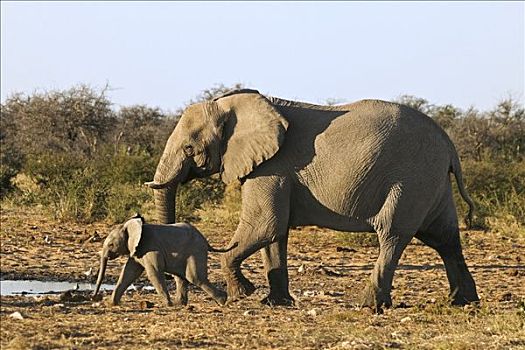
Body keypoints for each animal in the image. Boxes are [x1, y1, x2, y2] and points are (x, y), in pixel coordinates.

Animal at [92, 215, 235, 308]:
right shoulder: (137, 250)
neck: (132, 226)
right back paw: (180, 304)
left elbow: (154, 273)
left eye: (111, 245)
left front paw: (167, 304)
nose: (94, 297)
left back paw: (222, 300)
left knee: (194, 277)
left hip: (195, 251)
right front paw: (110, 304)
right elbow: (129, 273)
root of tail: (205, 241)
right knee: (181, 277)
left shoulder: (150, 248)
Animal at [145, 89, 476, 310]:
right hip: (431, 182)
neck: (233, 105)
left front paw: (243, 294)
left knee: (393, 234)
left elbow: (265, 225)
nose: (179, 302)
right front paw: (274, 303)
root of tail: (448, 144)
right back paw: (463, 302)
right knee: (445, 238)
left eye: (189, 148)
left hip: (411, 178)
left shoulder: (273, 167)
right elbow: (275, 234)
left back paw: (369, 305)